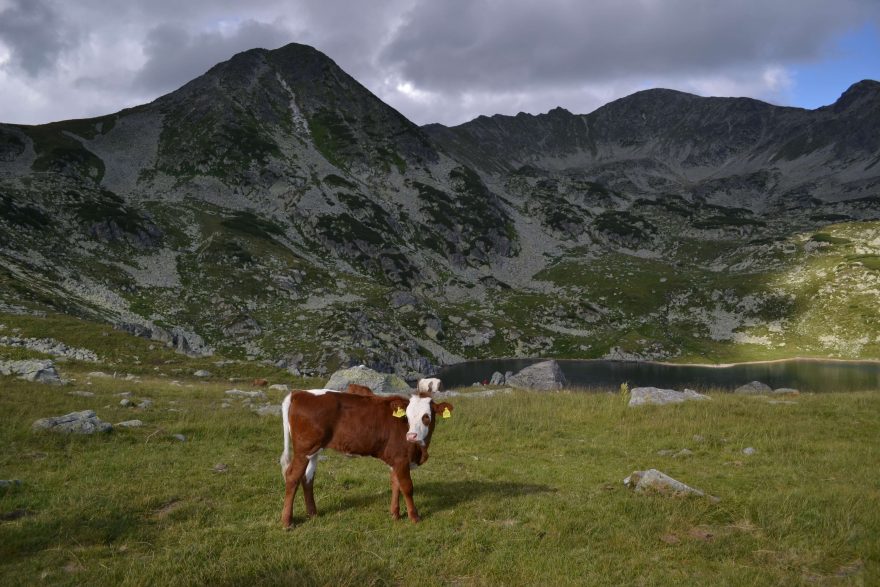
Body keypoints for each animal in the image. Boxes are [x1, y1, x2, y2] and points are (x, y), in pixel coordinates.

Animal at [280, 390, 454, 528]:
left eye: (426, 417)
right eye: (407, 417)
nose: (411, 436)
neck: (420, 448)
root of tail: (300, 393)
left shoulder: (395, 460)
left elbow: (395, 484)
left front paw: (395, 514)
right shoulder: (401, 459)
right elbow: (407, 487)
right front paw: (414, 517)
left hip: (314, 450)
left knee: (307, 478)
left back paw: (313, 514)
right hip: (303, 450)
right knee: (293, 476)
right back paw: (287, 522)